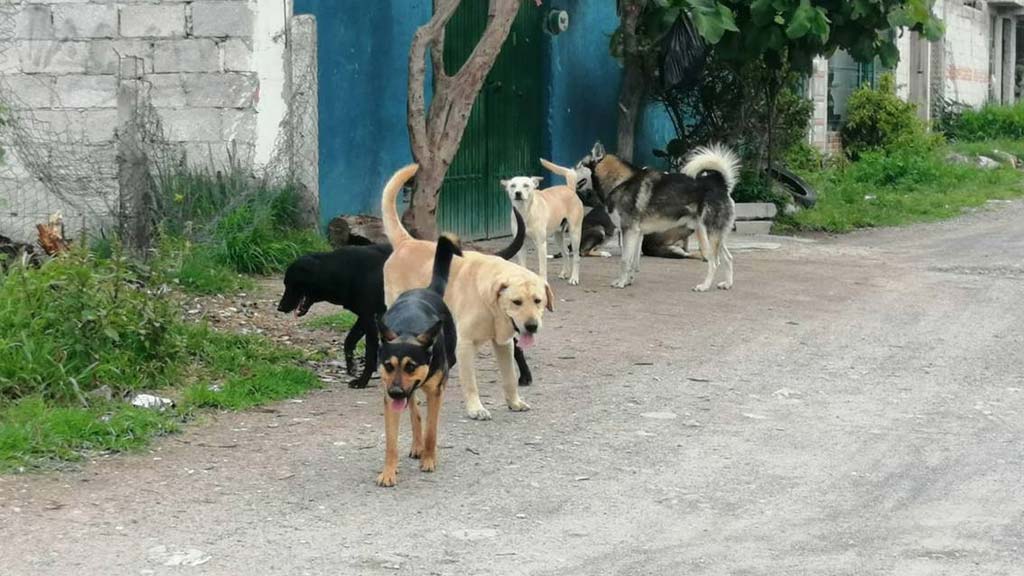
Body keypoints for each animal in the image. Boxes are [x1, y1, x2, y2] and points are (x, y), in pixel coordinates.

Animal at [374, 233, 458, 483]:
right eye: (388, 365)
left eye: (411, 366)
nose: (396, 392)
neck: (408, 331)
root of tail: (428, 289)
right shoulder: (390, 396)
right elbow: (391, 441)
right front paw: (388, 472)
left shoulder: (435, 392)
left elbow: (432, 430)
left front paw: (429, 460)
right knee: (414, 412)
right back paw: (416, 445)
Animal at [380, 163, 552, 420]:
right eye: (517, 302)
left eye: (538, 301)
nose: (532, 326)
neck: (491, 304)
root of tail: (406, 242)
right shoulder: (466, 344)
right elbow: (470, 382)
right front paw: (475, 408)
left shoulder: (504, 344)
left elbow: (509, 377)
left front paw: (514, 401)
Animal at [577, 141, 737, 289]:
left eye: (579, 165)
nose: (571, 169)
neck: (621, 182)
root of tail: (719, 183)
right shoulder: (637, 234)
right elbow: (633, 262)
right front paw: (628, 281)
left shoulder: (629, 232)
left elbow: (624, 261)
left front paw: (621, 283)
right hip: (716, 236)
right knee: (728, 258)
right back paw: (727, 284)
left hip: (707, 235)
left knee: (714, 262)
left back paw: (704, 286)